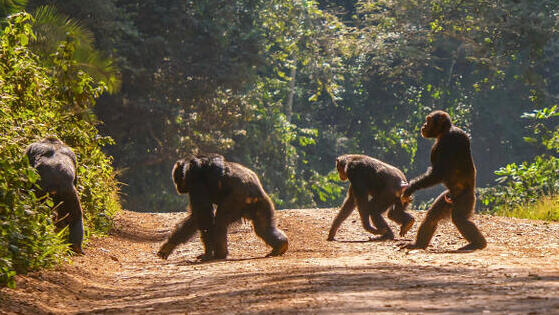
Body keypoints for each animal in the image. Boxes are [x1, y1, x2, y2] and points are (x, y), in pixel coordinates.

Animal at [158, 154, 288, 260]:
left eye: (177, 179)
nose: (177, 187)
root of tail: (255, 194)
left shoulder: (196, 184)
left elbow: (203, 215)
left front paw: (208, 253)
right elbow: (195, 218)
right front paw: (169, 245)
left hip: (236, 201)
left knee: (220, 221)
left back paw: (219, 254)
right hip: (262, 205)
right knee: (263, 228)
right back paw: (280, 245)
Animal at [400, 111, 488, 252]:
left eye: (428, 120)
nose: (424, 125)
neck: (444, 132)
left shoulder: (447, 142)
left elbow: (438, 172)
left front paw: (410, 188)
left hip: (465, 199)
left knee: (460, 219)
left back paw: (478, 244)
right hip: (447, 198)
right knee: (432, 217)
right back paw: (418, 245)